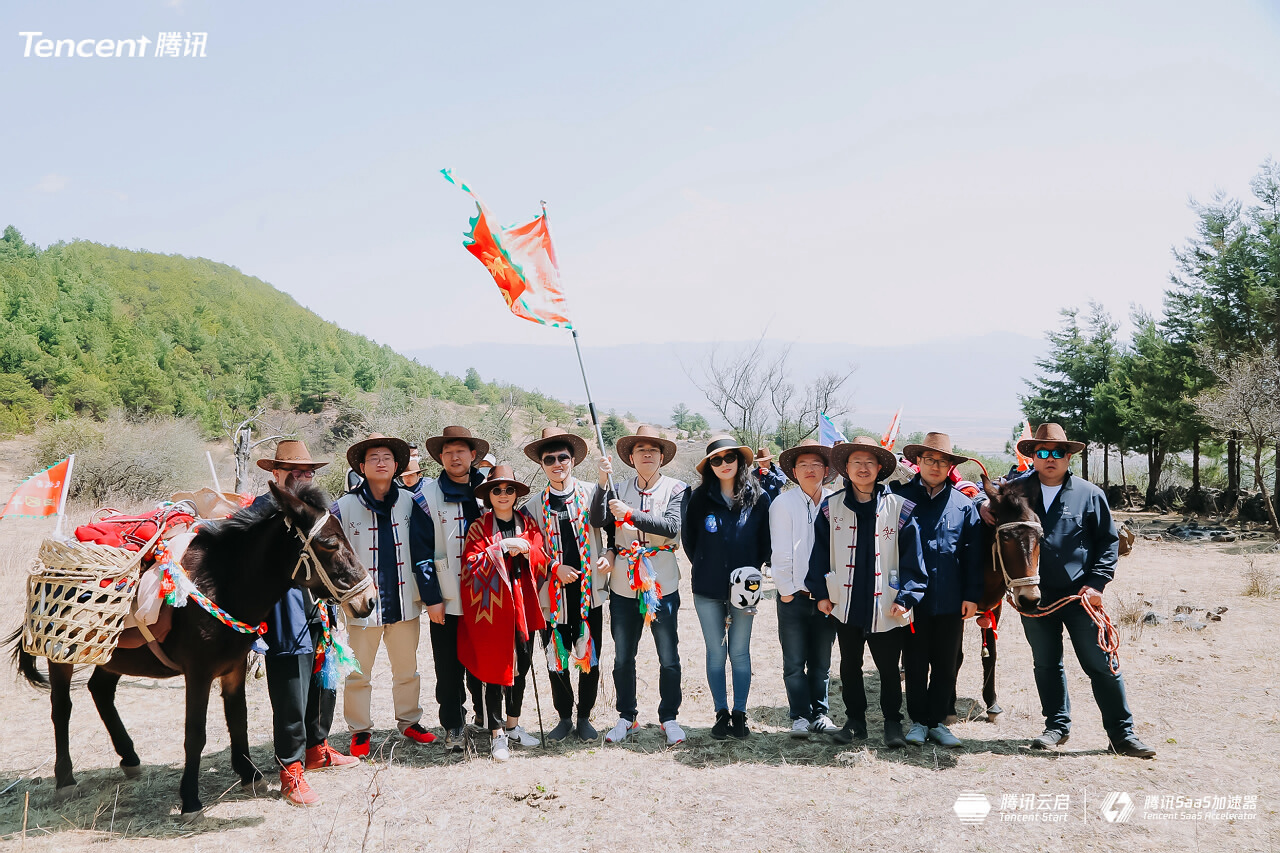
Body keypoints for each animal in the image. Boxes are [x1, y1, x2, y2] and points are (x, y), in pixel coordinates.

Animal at [11, 481, 378, 814]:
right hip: (62, 652)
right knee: (61, 708)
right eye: (330, 543)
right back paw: (65, 780)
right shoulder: (198, 674)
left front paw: (250, 775)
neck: (223, 583)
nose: (369, 600)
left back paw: (129, 757)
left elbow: (238, 720)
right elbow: (195, 734)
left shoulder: (233, 669)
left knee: (100, 690)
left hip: (114, 656)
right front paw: (190, 799)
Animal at [962, 471, 1044, 717]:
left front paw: (992, 704)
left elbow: (991, 654)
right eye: (1005, 537)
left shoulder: (993, 609)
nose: (1030, 599)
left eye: (1040, 535)